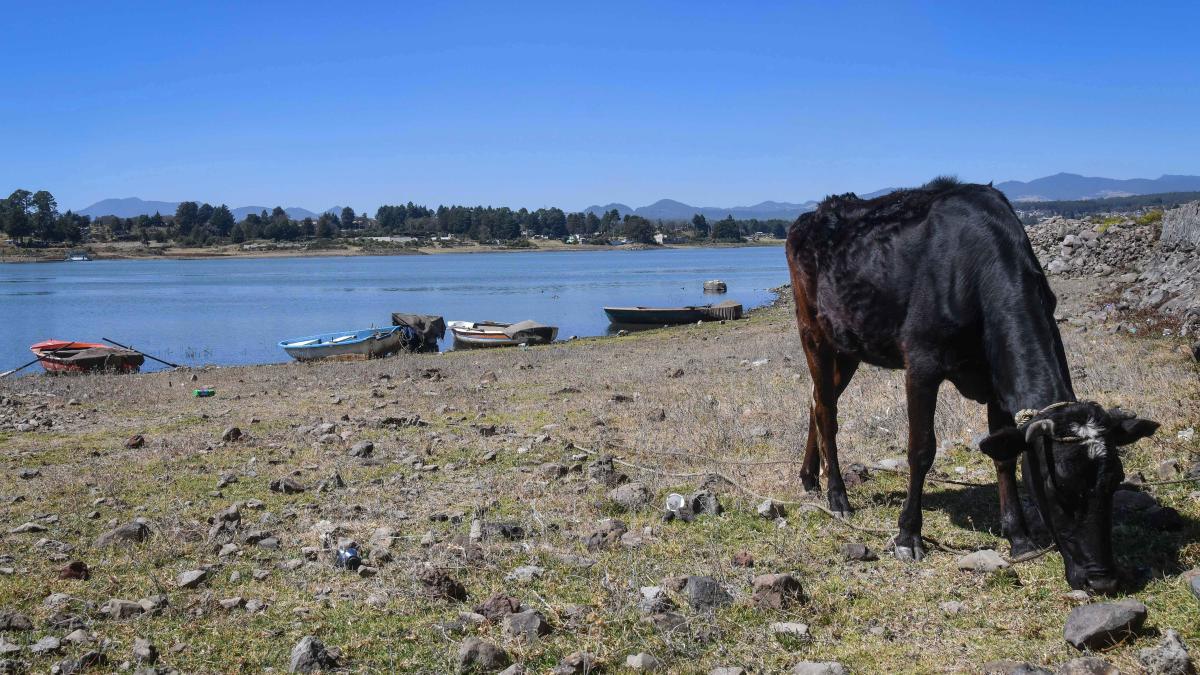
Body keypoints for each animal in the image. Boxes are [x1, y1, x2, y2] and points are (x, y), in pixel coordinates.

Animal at [782, 177, 1156, 588]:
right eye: (1057, 487)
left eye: (1113, 482)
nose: (1101, 580)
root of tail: (810, 216)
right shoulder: (921, 364)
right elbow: (921, 450)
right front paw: (908, 536)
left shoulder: (996, 380)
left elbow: (1003, 455)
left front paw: (1019, 537)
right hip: (813, 333)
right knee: (827, 413)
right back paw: (837, 497)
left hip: (848, 344)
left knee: (816, 400)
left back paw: (809, 478)